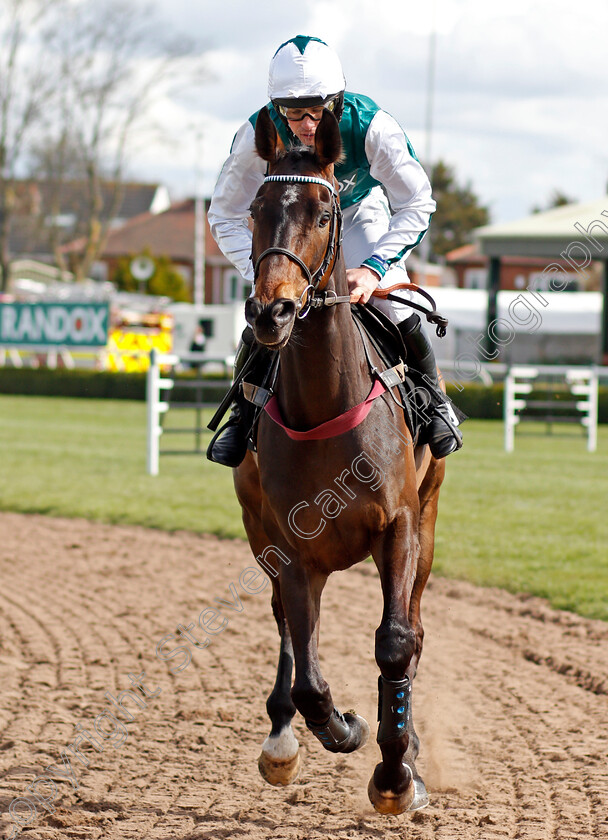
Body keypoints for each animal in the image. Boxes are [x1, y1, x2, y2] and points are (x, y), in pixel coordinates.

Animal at [230, 105, 444, 812]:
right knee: (287, 631)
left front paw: (397, 775)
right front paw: (342, 728)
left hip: (427, 518)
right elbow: (308, 676)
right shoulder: (292, 545)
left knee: (411, 630)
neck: (326, 405)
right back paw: (281, 739)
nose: (272, 310)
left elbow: (397, 642)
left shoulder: (400, 524)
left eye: (324, 211)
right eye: (256, 209)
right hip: (262, 532)